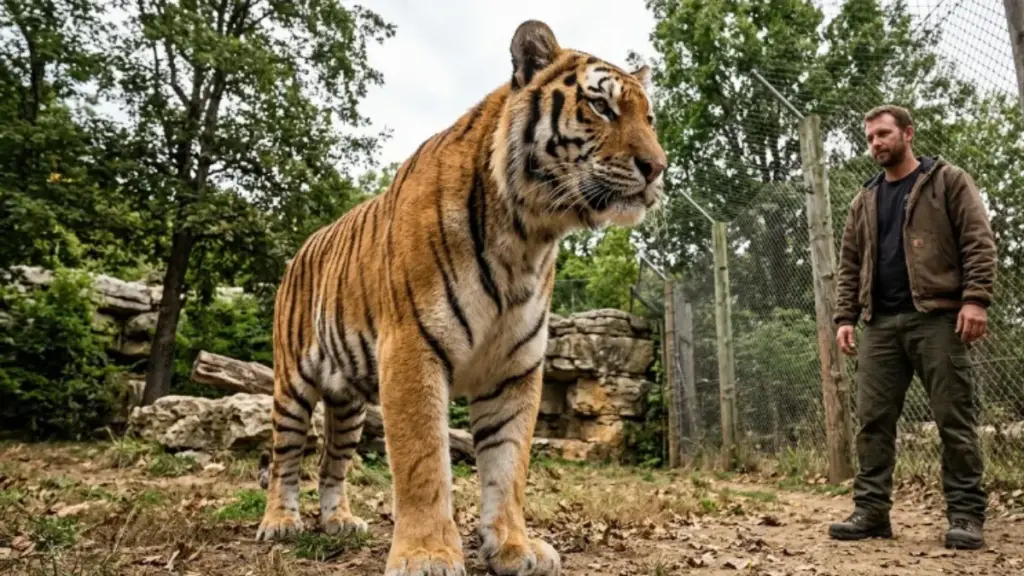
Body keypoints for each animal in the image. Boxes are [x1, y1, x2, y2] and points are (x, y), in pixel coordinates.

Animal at [255, 19, 667, 576]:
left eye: (649, 117)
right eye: (601, 106)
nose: (657, 167)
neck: (528, 236)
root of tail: (300, 248)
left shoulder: (514, 367)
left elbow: (508, 465)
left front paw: (514, 547)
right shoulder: (412, 349)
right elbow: (424, 461)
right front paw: (427, 554)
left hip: (348, 403)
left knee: (332, 460)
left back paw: (339, 520)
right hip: (292, 384)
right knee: (286, 455)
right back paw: (279, 523)